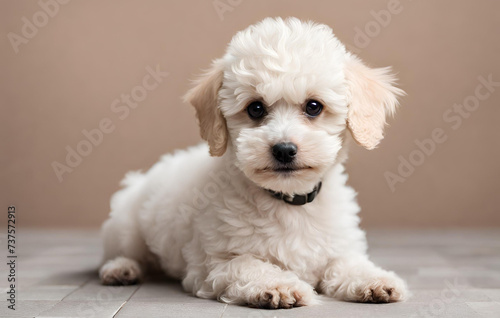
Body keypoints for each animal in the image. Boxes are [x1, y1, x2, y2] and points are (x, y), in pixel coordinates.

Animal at [99, 17, 408, 308]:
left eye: (313, 107)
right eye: (255, 108)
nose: (284, 150)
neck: (288, 203)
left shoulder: (339, 247)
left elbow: (347, 264)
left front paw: (374, 279)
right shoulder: (214, 263)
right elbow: (249, 265)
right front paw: (279, 286)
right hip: (126, 226)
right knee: (124, 252)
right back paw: (121, 269)